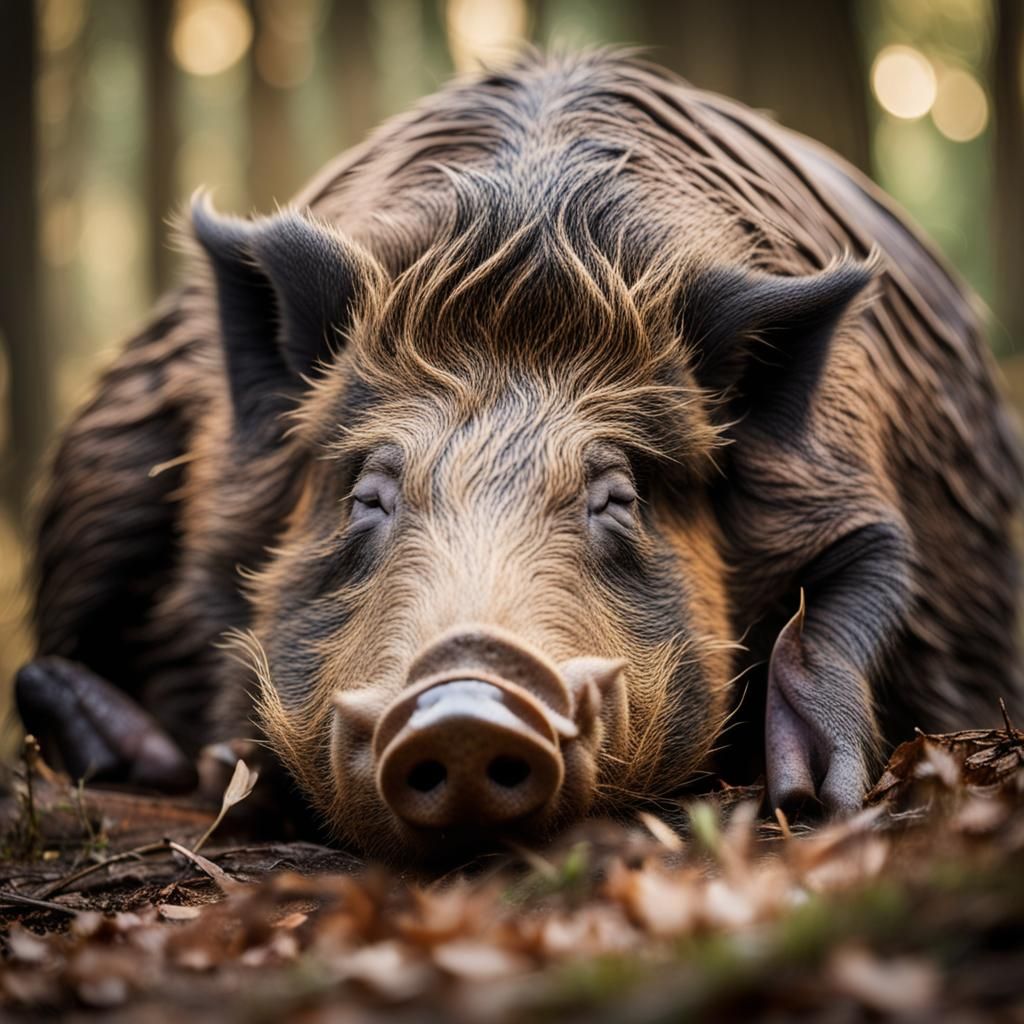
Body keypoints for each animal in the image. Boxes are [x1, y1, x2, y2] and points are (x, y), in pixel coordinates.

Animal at [16, 51, 1023, 861]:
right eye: (369, 496)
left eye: (616, 497)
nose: (464, 702)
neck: (528, 247)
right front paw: (231, 764)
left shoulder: (852, 493)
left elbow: (853, 598)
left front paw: (816, 803)